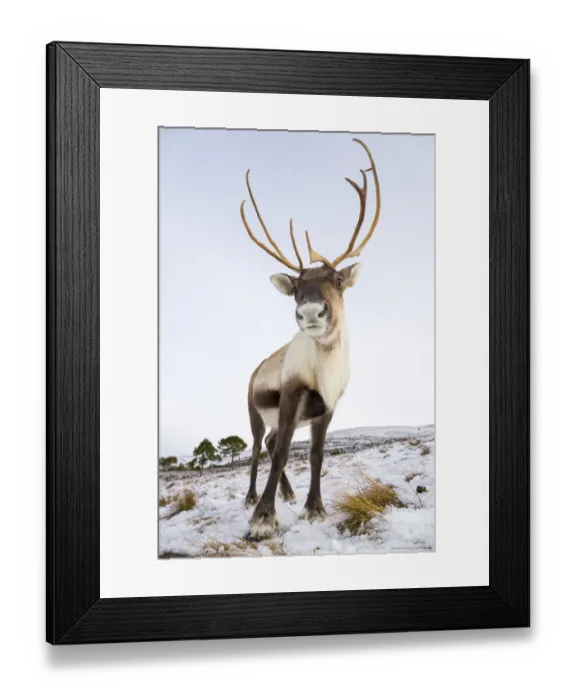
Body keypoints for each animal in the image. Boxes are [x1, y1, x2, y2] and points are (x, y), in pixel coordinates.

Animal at [240, 138, 381, 540]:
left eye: (337, 280)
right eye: (295, 289)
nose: (310, 313)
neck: (324, 371)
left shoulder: (328, 406)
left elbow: (316, 454)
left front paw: (314, 508)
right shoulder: (291, 393)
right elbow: (283, 452)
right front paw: (262, 517)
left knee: (271, 443)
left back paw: (286, 494)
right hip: (255, 414)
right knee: (259, 448)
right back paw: (252, 497)